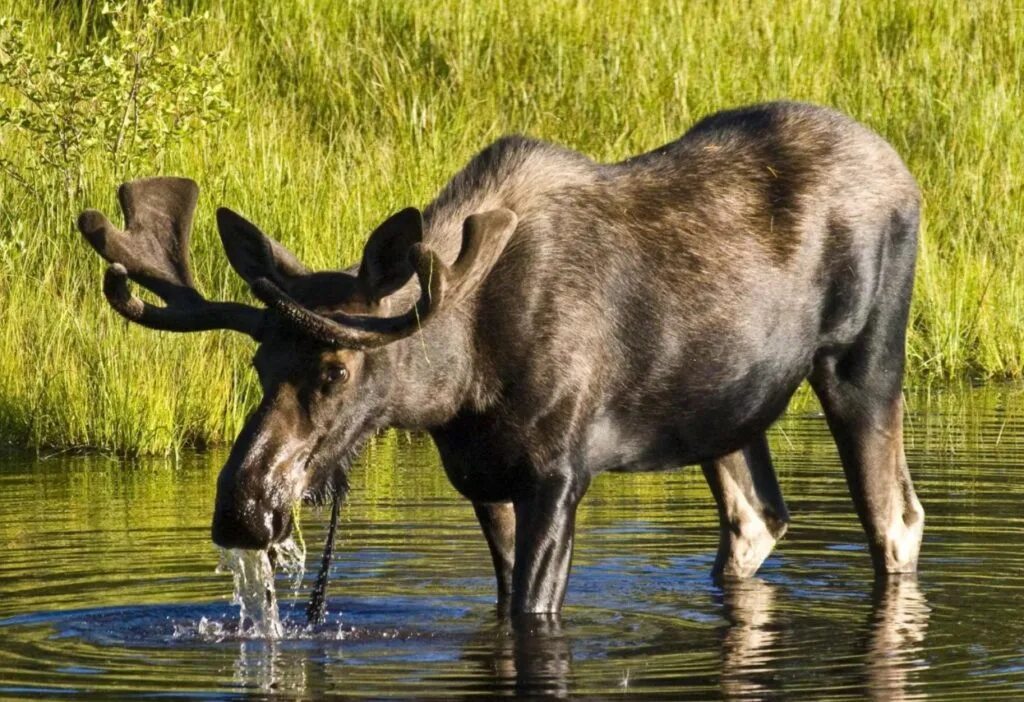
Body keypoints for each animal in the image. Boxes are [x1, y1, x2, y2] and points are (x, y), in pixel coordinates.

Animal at [79, 103, 925, 613]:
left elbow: (531, 614)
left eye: (336, 371)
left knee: (896, 520)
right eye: (258, 367)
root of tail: (906, 171)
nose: (242, 508)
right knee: (758, 516)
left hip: (863, 360)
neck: (458, 384)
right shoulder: (483, 481)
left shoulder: (560, 475)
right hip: (724, 408)